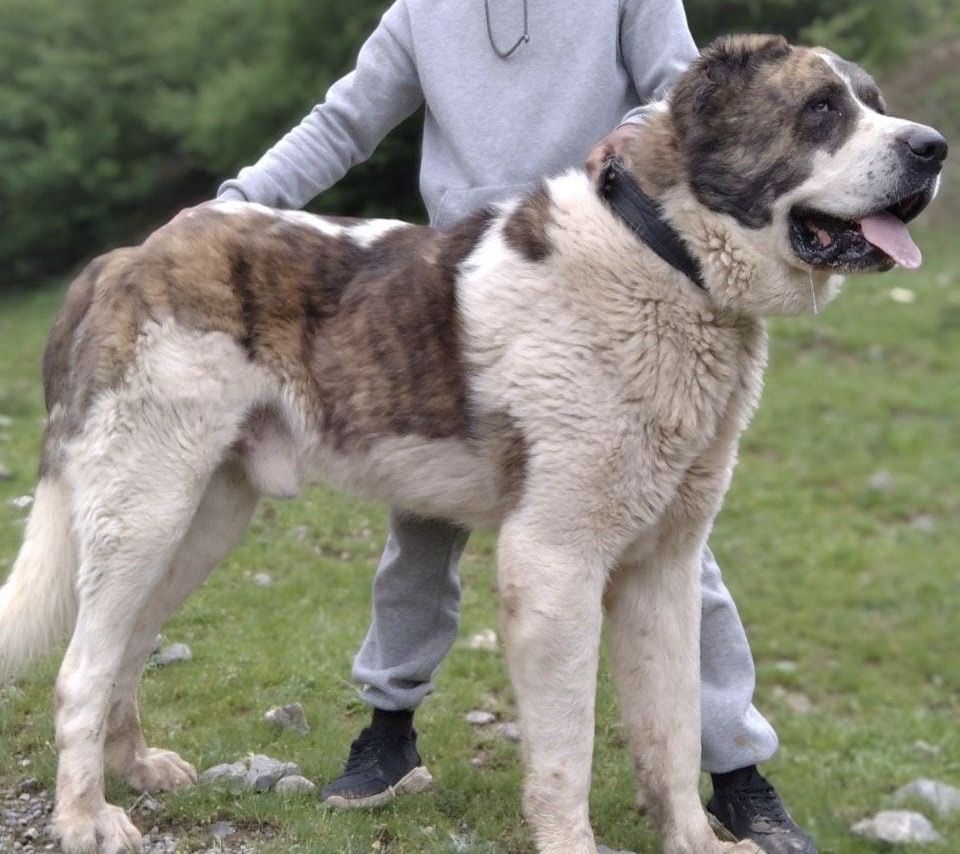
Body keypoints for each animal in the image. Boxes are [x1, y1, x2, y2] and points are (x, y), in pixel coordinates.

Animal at [0, 33, 944, 854]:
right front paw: (572, 845)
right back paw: (86, 819)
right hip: (144, 512)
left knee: (125, 646)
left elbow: (674, 729)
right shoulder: (556, 563)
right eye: (821, 110)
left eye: (874, 103)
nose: (934, 147)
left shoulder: (663, 569)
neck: (667, 259)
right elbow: (567, 749)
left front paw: (695, 841)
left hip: (200, 519)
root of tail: (126, 256)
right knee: (81, 669)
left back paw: (135, 769)